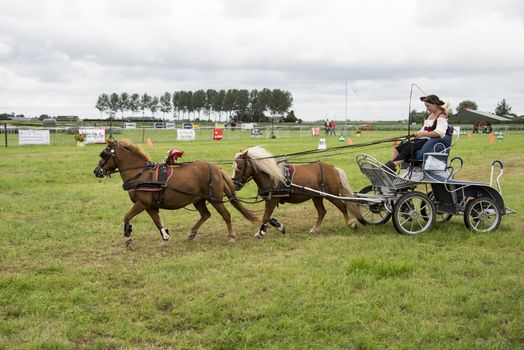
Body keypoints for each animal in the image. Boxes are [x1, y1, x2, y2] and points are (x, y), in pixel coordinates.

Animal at [95, 138, 258, 245]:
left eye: (103, 154)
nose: (96, 171)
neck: (140, 174)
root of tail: (217, 169)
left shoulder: (142, 204)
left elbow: (127, 217)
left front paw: (128, 237)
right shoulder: (150, 207)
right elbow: (157, 222)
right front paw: (165, 237)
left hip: (215, 199)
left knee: (226, 215)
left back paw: (231, 237)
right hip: (199, 200)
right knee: (205, 215)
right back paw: (192, 233)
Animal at [231, 145, 362, 238]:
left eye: (239, 167)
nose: (234, 185)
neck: (272, 177)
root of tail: (333, 169)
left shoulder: (272, 200)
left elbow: (265, 216)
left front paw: (261, 232)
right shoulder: (270, 200)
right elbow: (267, 216)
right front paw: (278, 226)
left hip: (331, 195)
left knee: (343, 206)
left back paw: (351, 223)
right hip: (317, 196)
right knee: (322, 212)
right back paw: (315, 229)